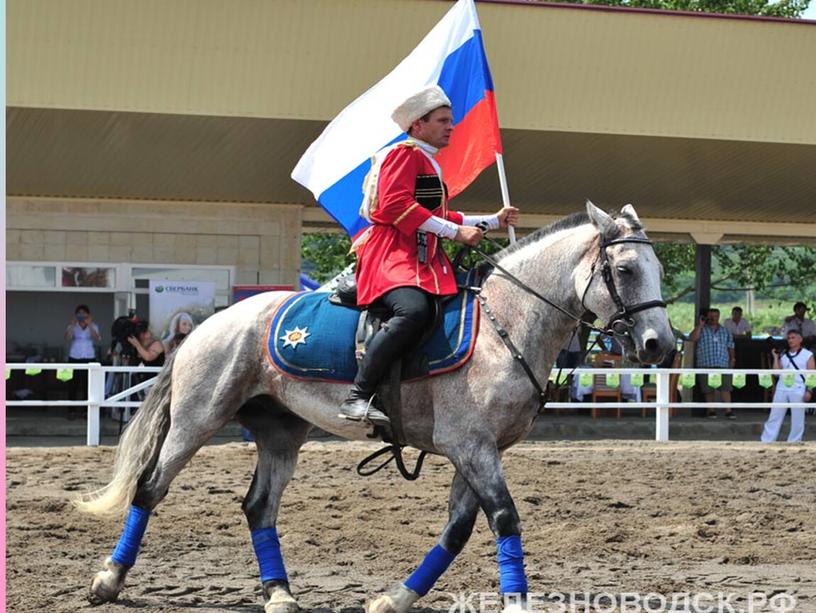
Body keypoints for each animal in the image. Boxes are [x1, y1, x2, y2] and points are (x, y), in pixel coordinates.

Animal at [78, 204, 676, 612]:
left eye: (659, 270)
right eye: (625, 270)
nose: (660, 346)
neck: (504, 324)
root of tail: (210, 322)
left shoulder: (480, 451)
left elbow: (458, 529)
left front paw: (395, 597)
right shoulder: (471, 447)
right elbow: (504, 519)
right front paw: (515, 603)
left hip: (280, 433)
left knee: (259, 507)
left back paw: (279, 593)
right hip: (196, 420)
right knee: (151, 487)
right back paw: (109, 580)